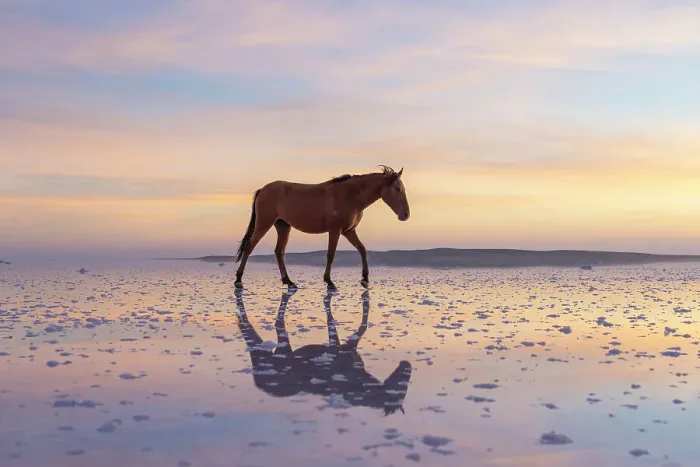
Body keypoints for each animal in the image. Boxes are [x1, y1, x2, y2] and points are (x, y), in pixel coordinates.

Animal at [234, 165, 410, 290]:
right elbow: (331, 255)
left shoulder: (348, 231)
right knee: (250, 246)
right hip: (264, 223)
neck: (350, 195)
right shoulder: (335, 230)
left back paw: (288, 281)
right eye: (397, 189)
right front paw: (329, 282)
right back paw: (238, 279)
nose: (406, 215)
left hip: (283, 226)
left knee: (279, 251)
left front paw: (365, 280)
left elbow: (362, 249)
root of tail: (263, 189)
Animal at [235, 288, 413, 415]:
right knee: (276, 323)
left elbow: (362, 327)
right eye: (401, 389)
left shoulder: (349, 346)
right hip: (282, 349)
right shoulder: (336, 348)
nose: (407, 365)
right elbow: (331, 322)